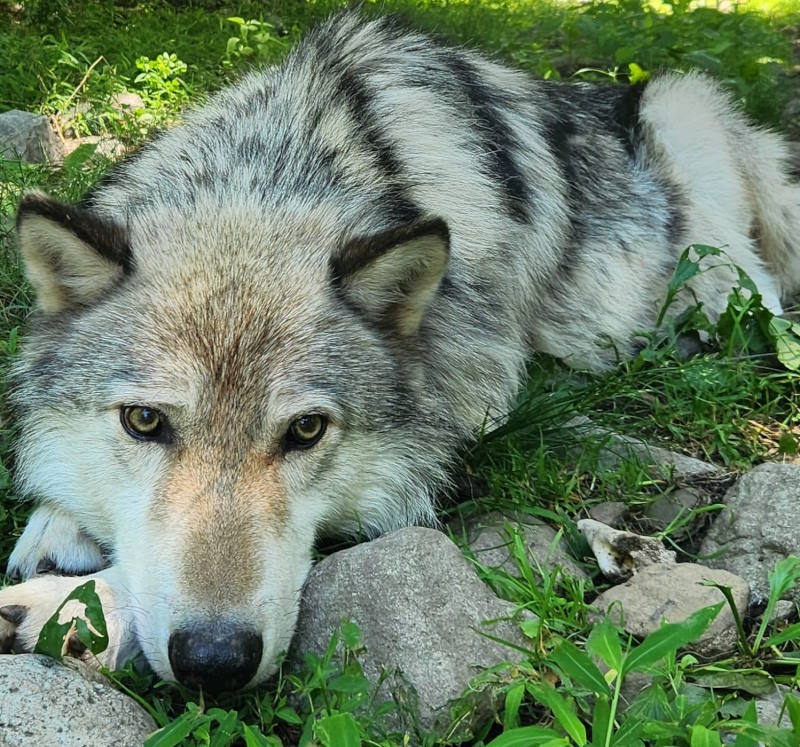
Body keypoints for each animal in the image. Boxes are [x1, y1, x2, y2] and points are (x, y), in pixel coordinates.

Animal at [1, 8, 800, 692]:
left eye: (306, 430)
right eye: (144, 422)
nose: (215, 660)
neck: (276, 170)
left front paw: (71, 608)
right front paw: (59, 523)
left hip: (690, 139)